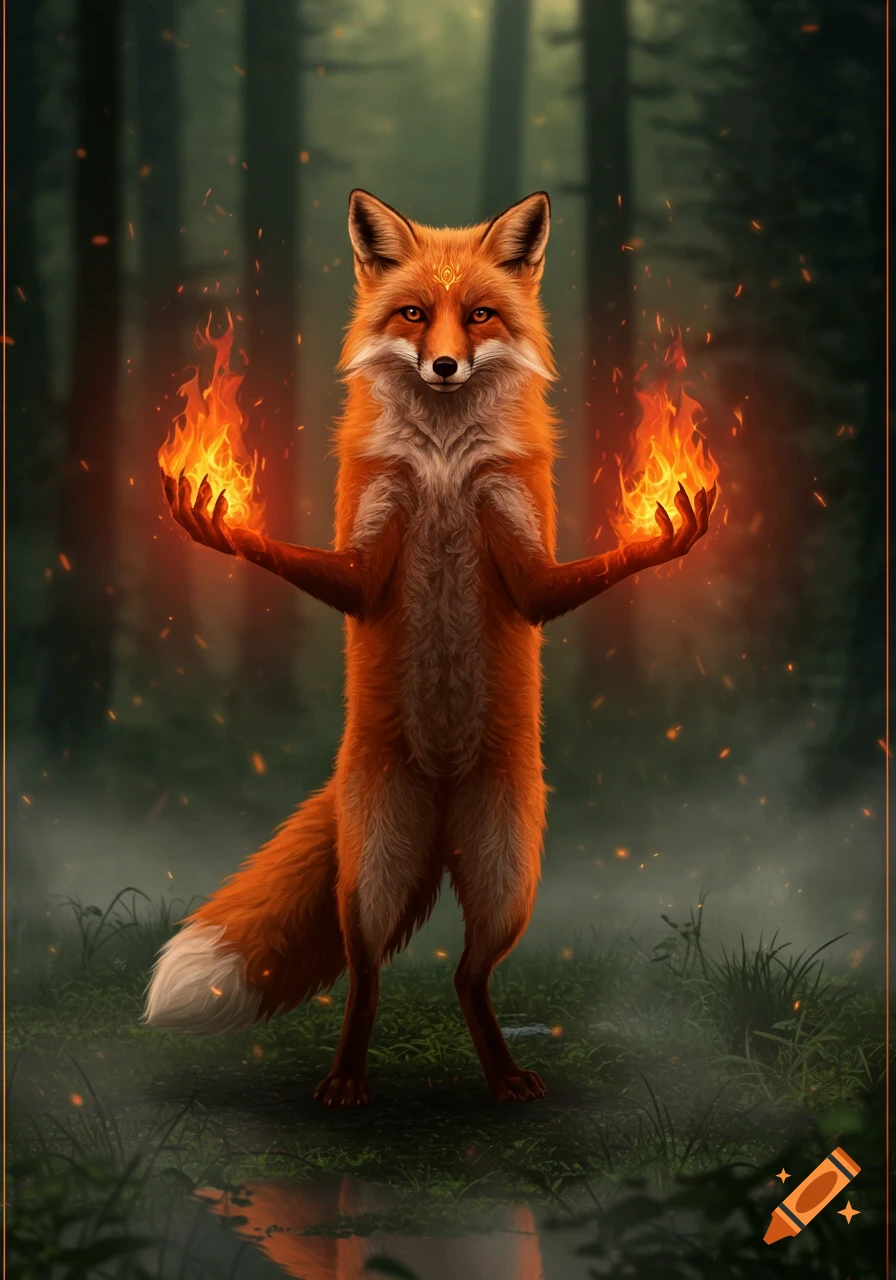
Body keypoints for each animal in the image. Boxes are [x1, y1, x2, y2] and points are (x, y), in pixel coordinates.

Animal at [143, 189, 715, 1106]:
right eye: (413, 314)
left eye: (479, 315)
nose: (445, 366)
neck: (445, 460)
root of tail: (443, 803)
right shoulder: (370, 543)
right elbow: (333, 574)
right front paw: (225, 528)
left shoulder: (518, 544)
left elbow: (550, 588)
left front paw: (662, 538)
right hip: (372, 877)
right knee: (368, 974)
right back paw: (347, 1079)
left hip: (510, 881)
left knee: (465, 977)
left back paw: (503, 1074)